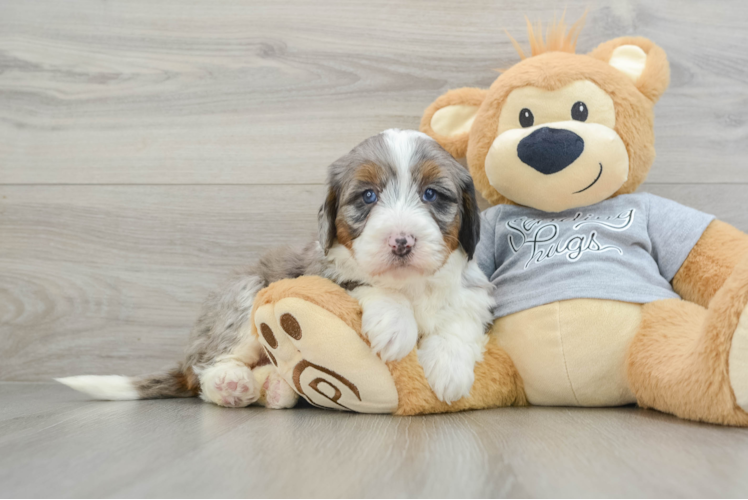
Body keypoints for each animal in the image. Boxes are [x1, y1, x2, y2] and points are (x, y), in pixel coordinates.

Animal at [60, 128, 496, 406]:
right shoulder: (322, 272)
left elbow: (461, 317)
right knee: (205, 370)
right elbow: (365, 285)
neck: (410, 284)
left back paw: (275, 388)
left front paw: (450, 369)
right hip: (246, 293)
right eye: (368, 196)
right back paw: (231, 384)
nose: (401, 241)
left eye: (431, 194)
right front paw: (395, 325)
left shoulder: (471, 289)